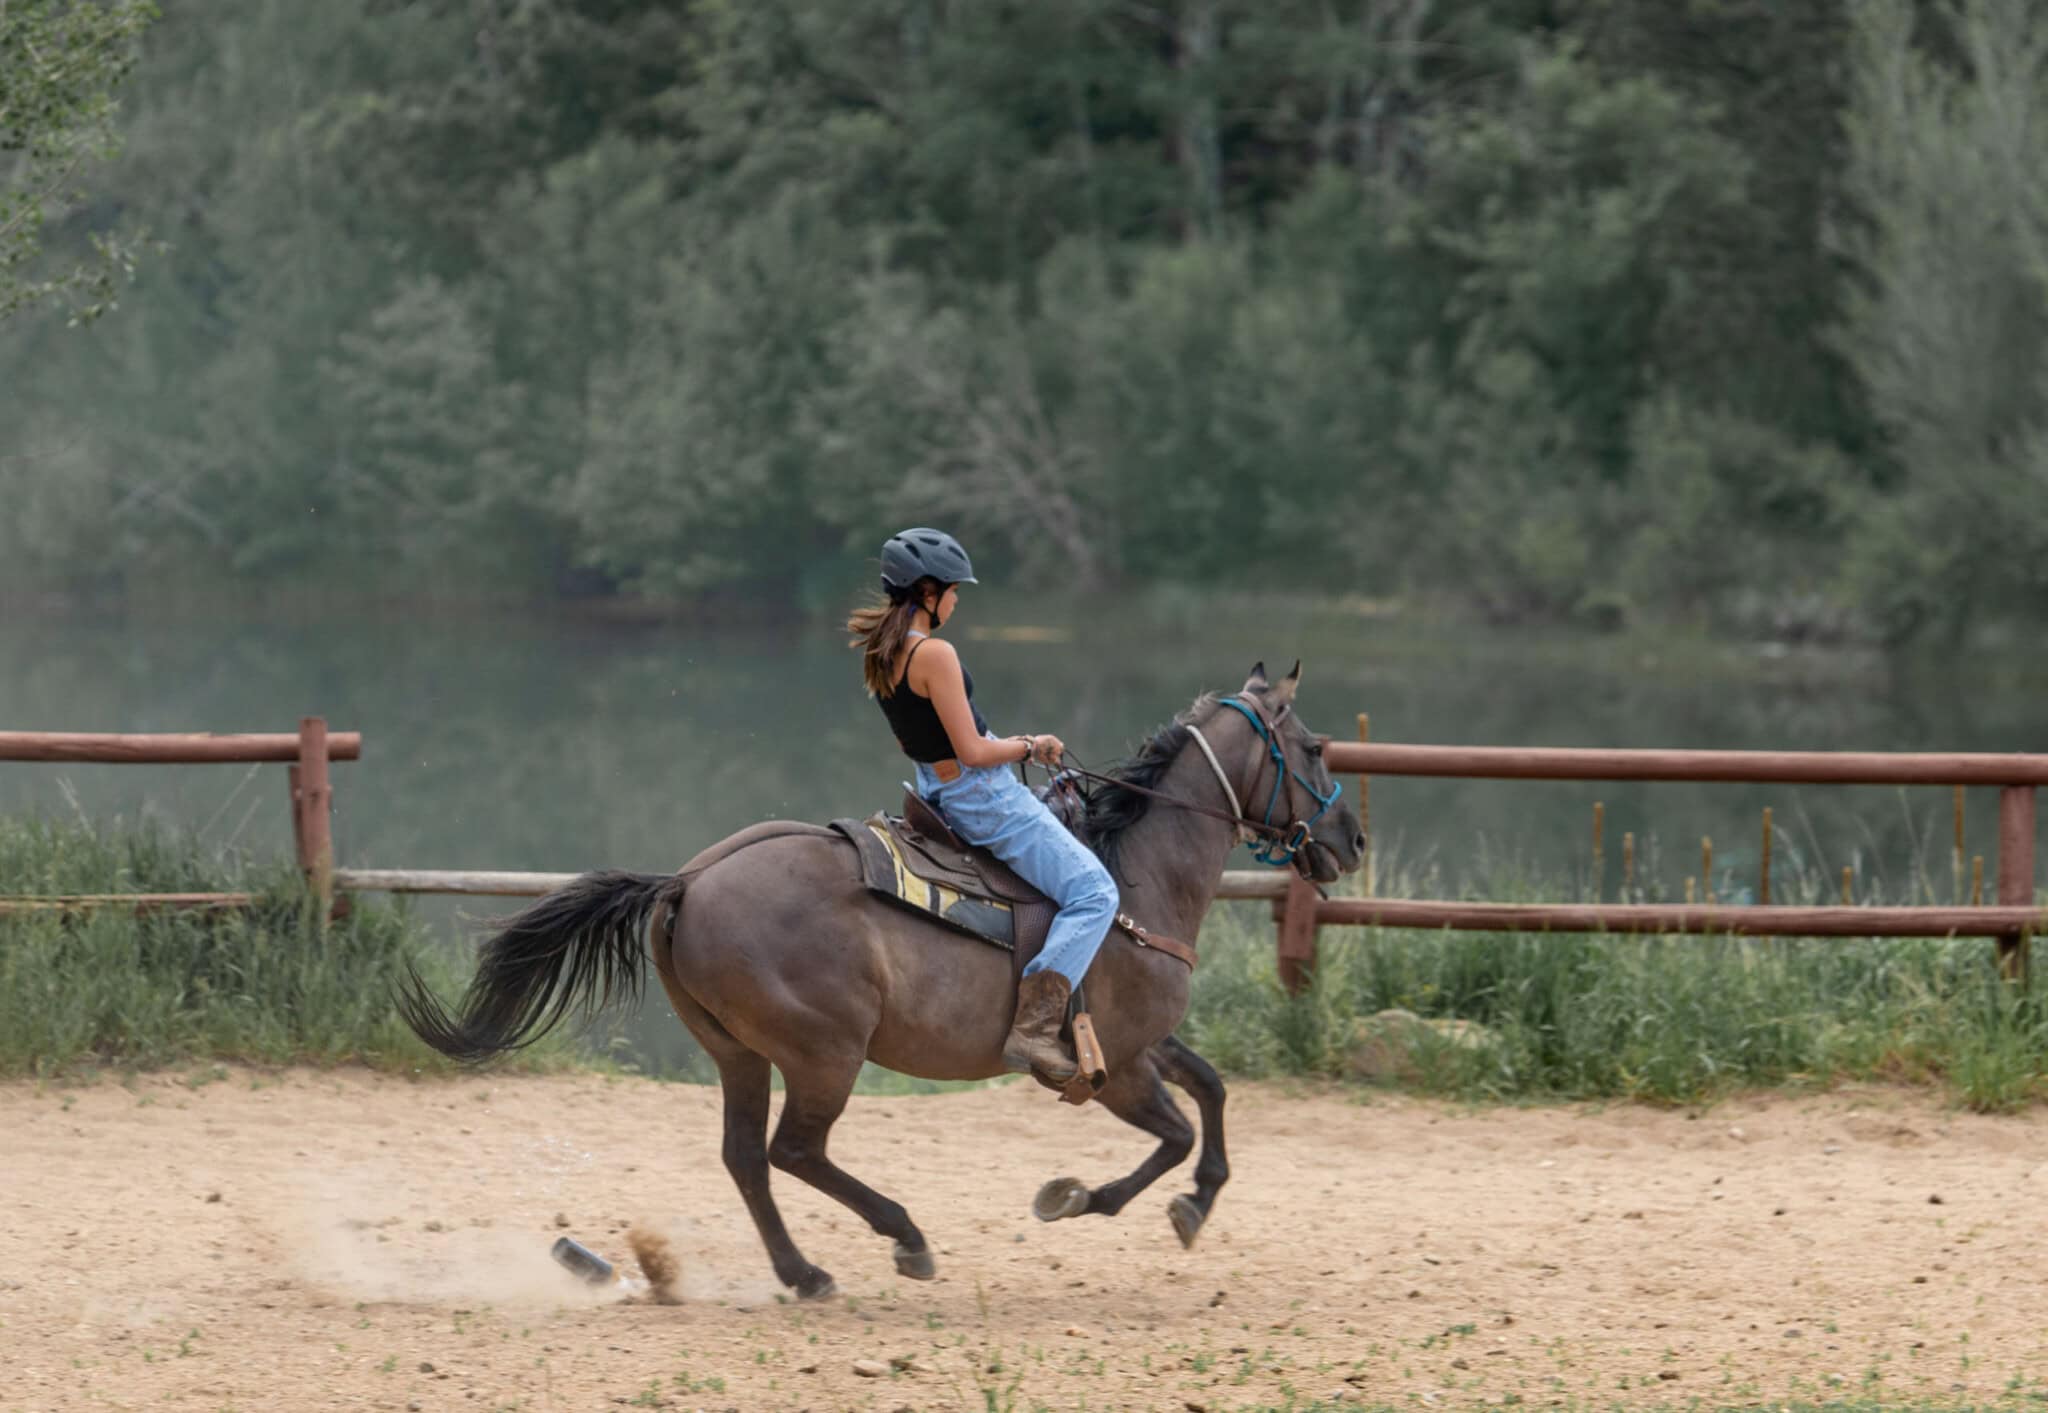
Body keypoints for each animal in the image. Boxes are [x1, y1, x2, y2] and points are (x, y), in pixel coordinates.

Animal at [398, 662, 1365, 1299]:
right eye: (1315, 746)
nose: (1351, 840)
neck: (1129, 876)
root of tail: (688, 881)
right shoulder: (1117, 1065)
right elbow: (1172, 1131)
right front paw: (1077, 1198)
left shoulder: (1140, 1043)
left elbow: (1213, 1092)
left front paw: (1196, 1201)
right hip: (825, 1052)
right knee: (793, 1151)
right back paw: (904, 1237)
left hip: (739, 1053)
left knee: (747, 1157)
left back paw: (805, 1272)